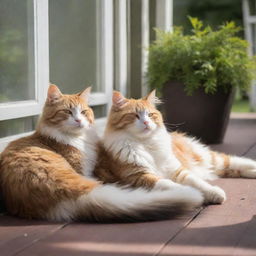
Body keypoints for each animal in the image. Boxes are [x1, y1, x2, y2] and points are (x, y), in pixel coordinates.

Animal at [94, 90, 256, 204]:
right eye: (135, 116)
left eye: (150, 115)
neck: (146, 144)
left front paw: (213, 193)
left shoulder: (178, 171)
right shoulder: (140, 176)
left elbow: (198, 183)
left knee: (234, 161)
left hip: (209, 158)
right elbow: (172, 185)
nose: (146, 123)